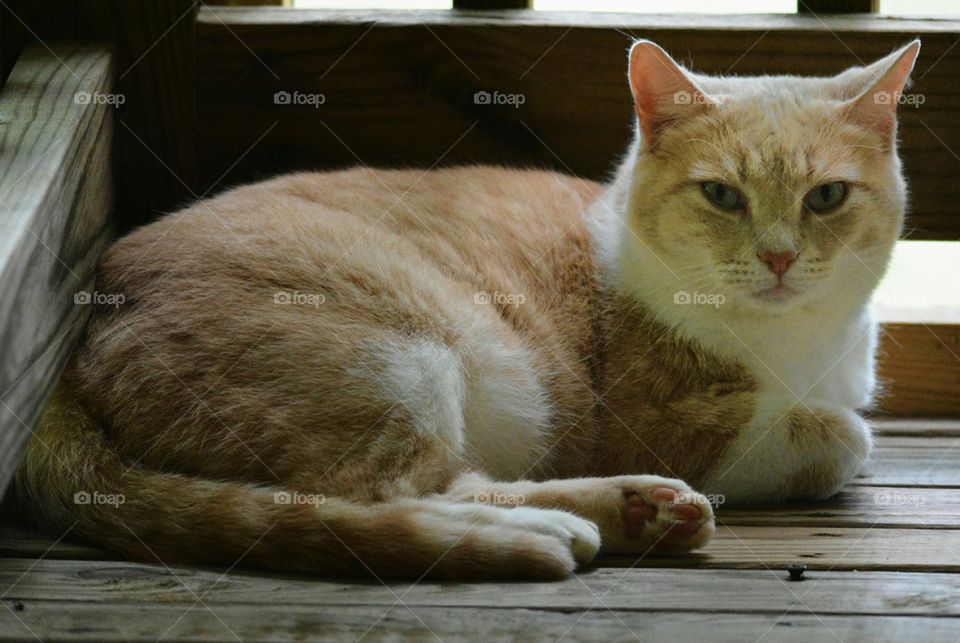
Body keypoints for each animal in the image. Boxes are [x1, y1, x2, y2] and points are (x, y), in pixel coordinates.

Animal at [11, 39, 920, 584]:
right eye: (722, 195)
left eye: (827, 197)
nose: (779, 257)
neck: (802, 342)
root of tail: (88, 317)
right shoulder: (658, 420)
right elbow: (843, 435)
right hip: (404, 355)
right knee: (379, 497)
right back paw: (560, 527)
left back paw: (637, 512)